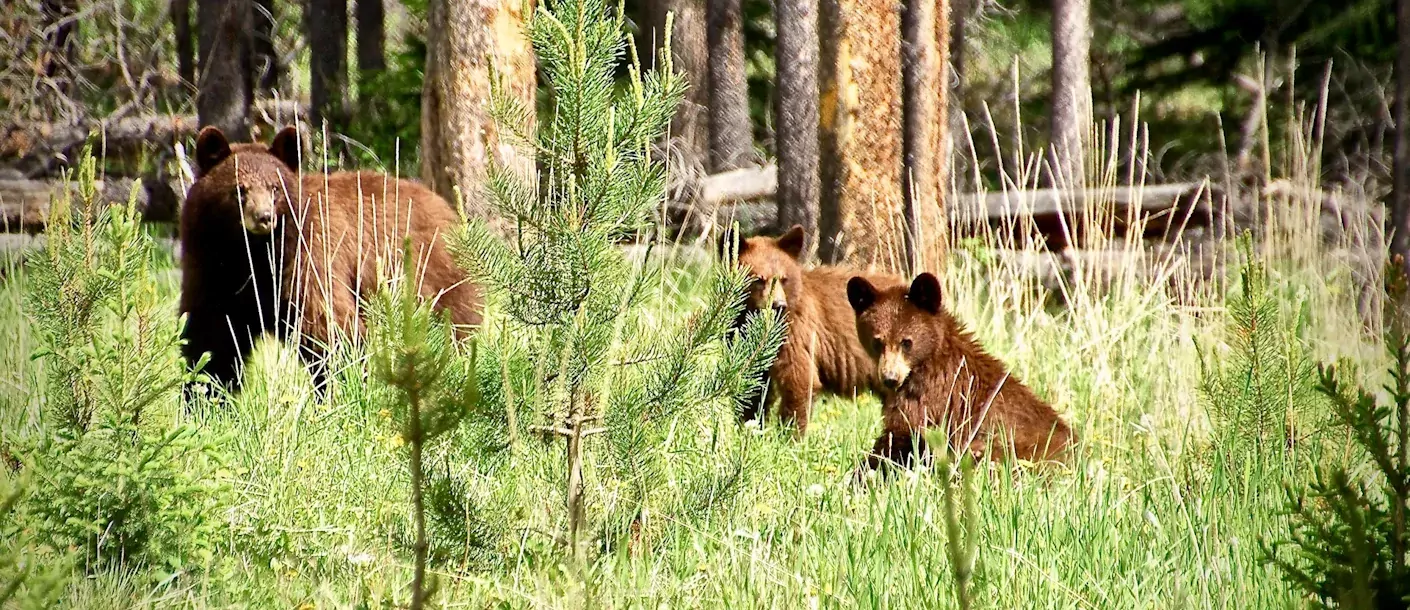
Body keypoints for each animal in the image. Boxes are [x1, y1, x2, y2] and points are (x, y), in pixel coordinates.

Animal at [181, 125, 482, 388]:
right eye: (239, 189)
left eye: (275, 188)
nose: (264, 217)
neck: (250, 254)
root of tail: (445, 207)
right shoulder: (211, 268)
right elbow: (211, 338)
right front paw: (202, 395)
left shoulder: (308, 257)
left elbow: (328, 327)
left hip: (433, 276)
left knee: (455, 327)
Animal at [727, 223, 902, 433]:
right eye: (759, 279)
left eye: (783, 279)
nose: (778, 305)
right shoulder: (740, 336)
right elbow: (753, 387)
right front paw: (748, 428)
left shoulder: (798, 332)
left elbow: (800, 380)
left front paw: (788, 435)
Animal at [840, 270, 1071, 464]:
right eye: (877, 341)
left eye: (907, 342)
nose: (890, 378)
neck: (932, 356)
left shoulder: (931, 394)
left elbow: (900, 433)